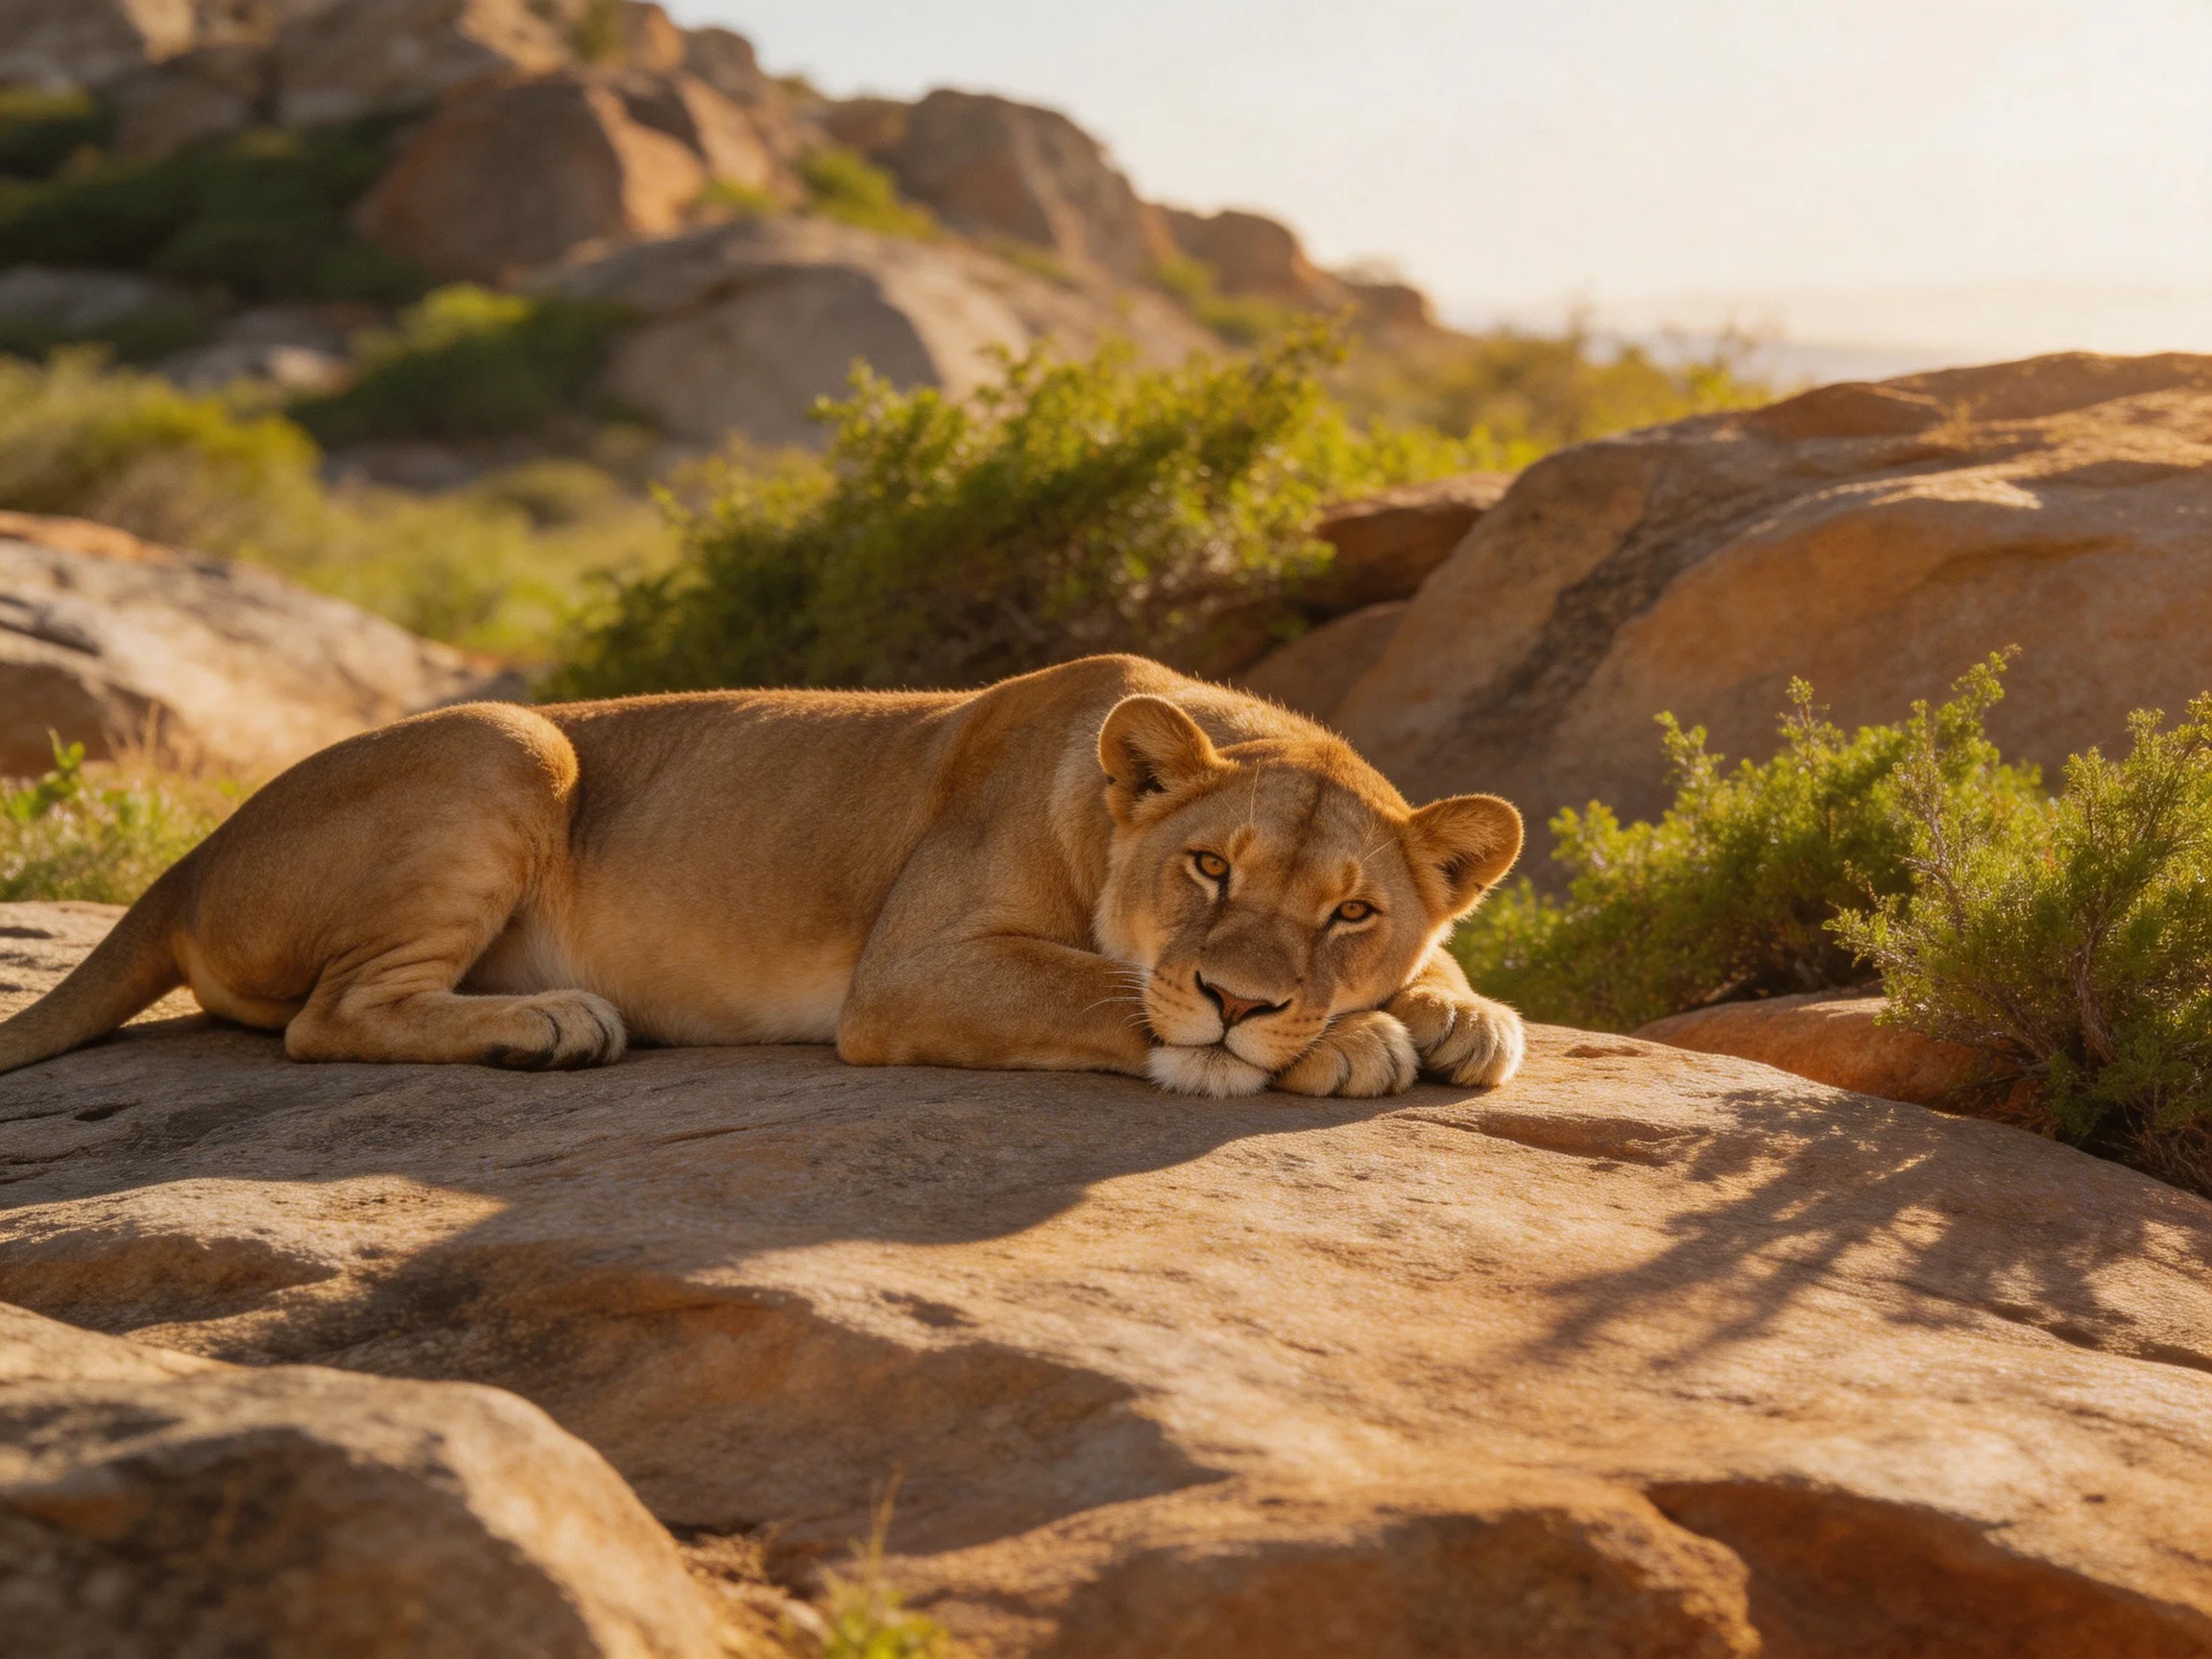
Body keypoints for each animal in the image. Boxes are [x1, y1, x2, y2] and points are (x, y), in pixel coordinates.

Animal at [0, 655, 1527, 1097]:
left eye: (1352, 911)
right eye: (1208, 866)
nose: (1242, 1000)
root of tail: (187, 855)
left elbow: (1451, 968)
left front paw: (1461, 1012)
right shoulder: (909, 977)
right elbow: (1112, 995)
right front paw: (1348, 1044)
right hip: (512, 741)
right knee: (328, 1017)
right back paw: (552, 1024)